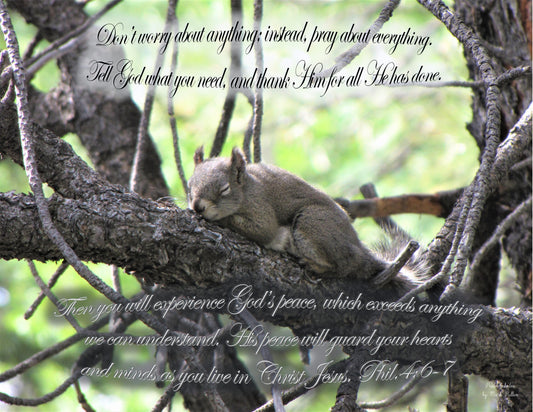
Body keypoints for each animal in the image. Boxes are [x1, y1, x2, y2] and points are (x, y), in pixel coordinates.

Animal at [187, 146, 424, 292]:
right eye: (189, 186)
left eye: (224, 189)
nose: (197, 206)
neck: (246, 189)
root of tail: (358, 249)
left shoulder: (261, 209)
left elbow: (262, 229)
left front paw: (221, 220)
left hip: (311, 222)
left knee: (343, 266)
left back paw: (314, 265)